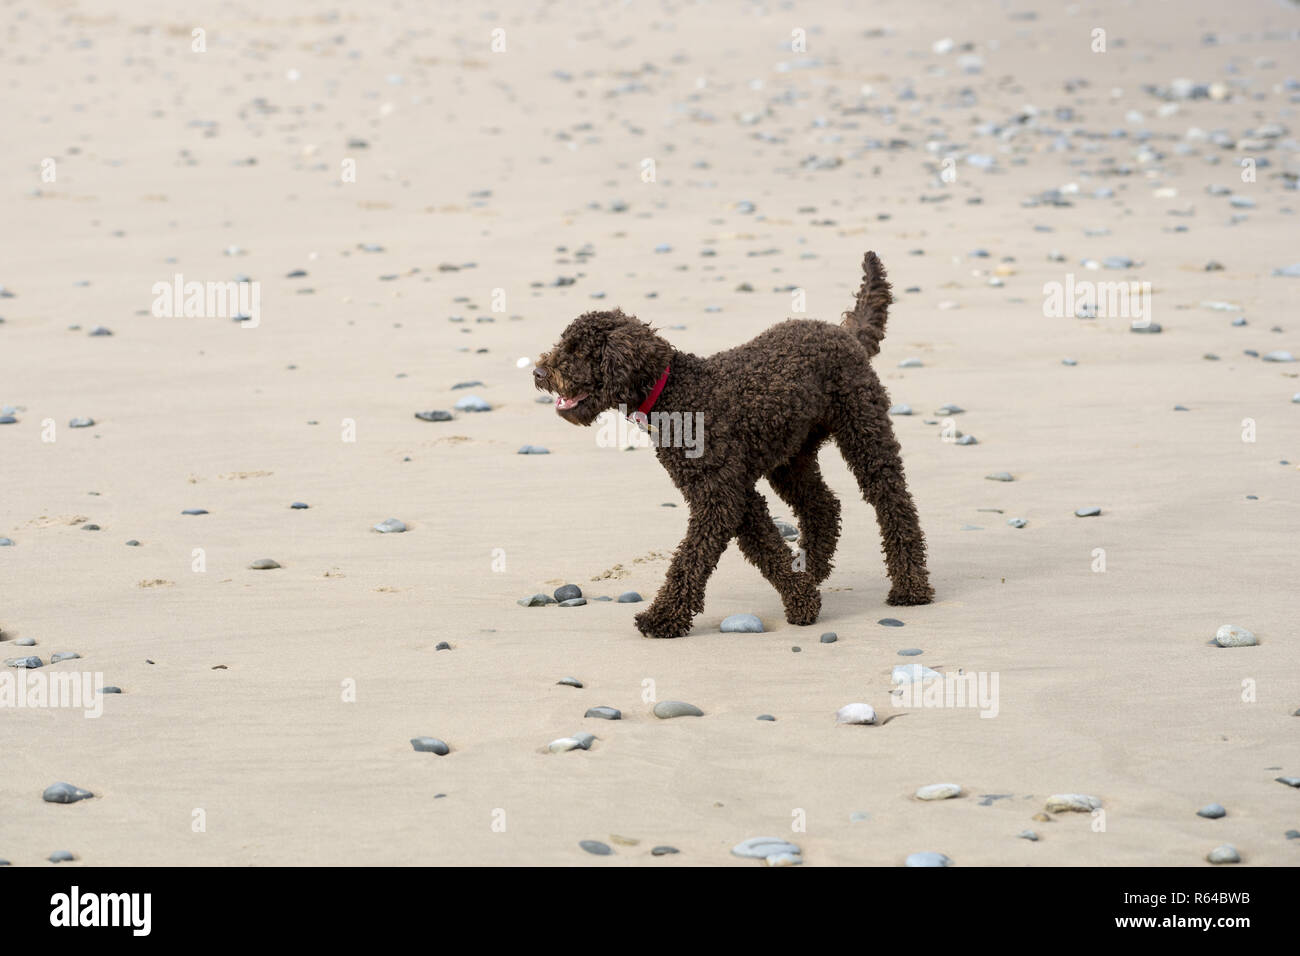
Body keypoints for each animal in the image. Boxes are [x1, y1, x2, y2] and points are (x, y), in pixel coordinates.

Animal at [533, 251, 930, 639]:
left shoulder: (719, 495)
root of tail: (844, 333)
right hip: (791, 457)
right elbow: (766, 546)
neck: (675, 392)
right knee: (822, 506)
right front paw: (802, 594)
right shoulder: (734, 492)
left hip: (864, 433)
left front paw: (663, 617)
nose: (538, 373)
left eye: (578, 351)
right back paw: (813, 570)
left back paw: (910, 588)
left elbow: (693, 559)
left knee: (893, 502)